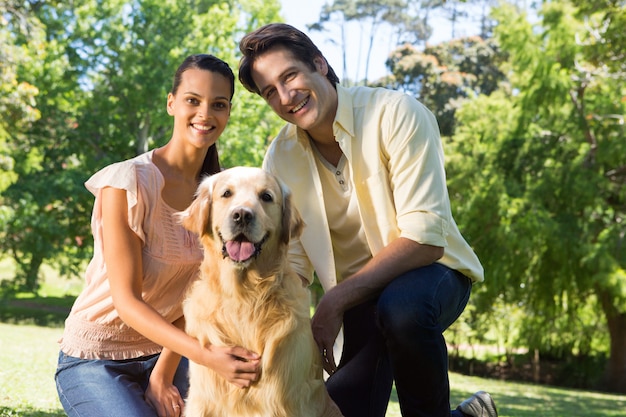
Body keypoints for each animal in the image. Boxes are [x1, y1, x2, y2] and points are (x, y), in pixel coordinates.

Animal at [178, 167, 342, 416]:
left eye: (266, 196)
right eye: (226, 193)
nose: (242, 215)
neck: (243, 296)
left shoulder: (283, 400)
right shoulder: (202, 399)